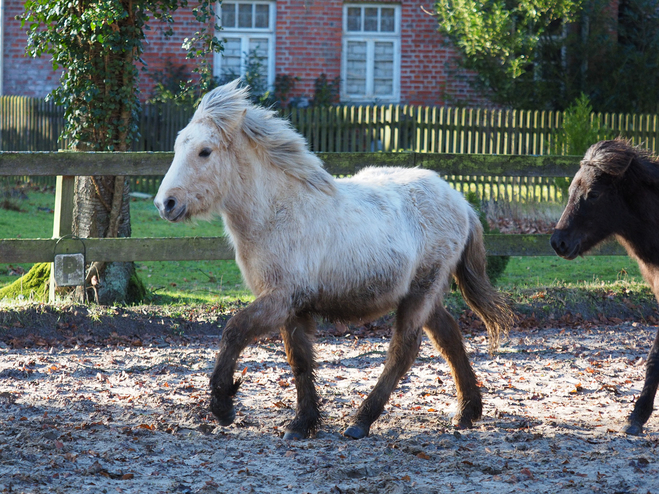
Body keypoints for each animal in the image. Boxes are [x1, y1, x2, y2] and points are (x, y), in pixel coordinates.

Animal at [156, 81, 516, 440]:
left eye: (205, 151)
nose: (165, 204)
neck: (278, 212)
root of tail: (461, 202)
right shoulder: (294, 308)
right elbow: (300, 361)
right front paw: (302, 423)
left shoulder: (281, 298)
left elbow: (234, 330)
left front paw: (223, 405)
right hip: (421, 293)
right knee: (449, 337)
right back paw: (467, 412)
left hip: (421, 291)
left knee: (404, 350)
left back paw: (362, 421)